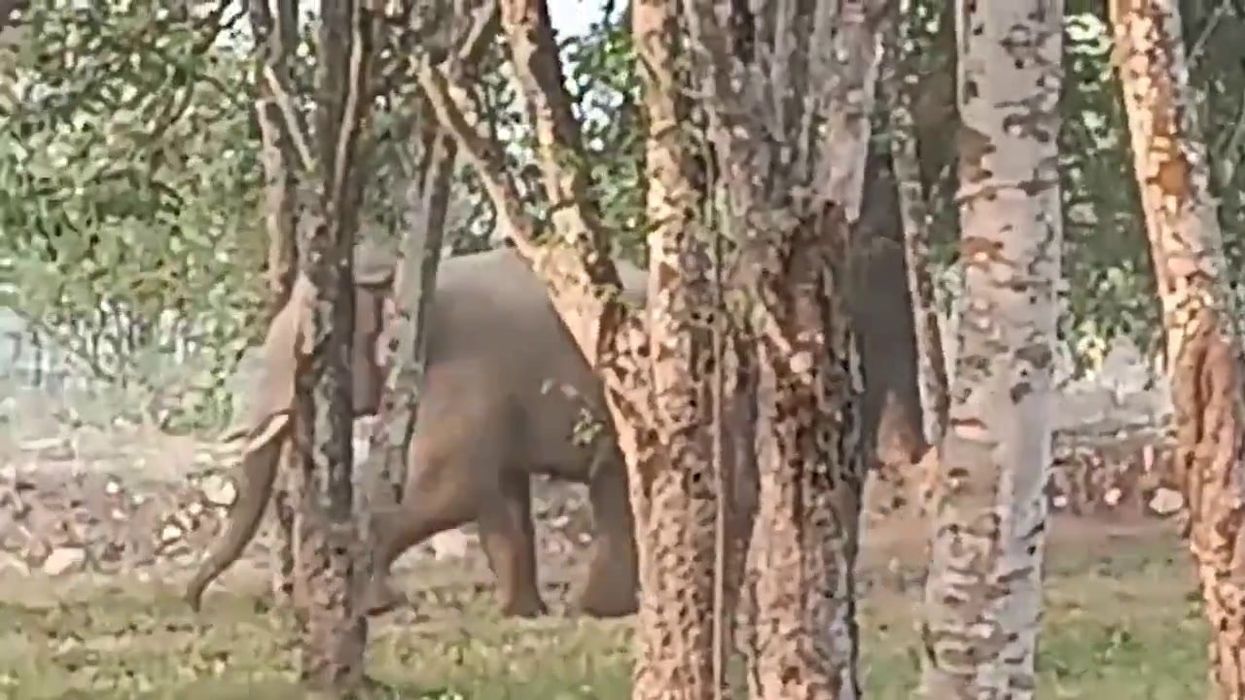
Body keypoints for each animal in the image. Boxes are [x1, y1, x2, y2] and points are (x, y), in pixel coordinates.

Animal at [184, 245, 649, 619]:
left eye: (307, 351)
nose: (193, 603)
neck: (396, 272)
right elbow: (499, 493)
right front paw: (520, 612)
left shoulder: (459, 370)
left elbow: (449, 488)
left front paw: (374, 604)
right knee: (615, 483)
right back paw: (604, 609)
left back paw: (596, 610)